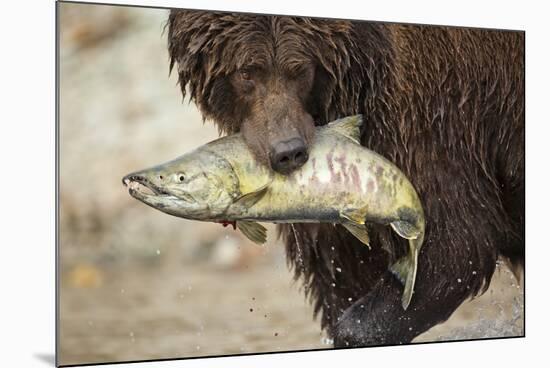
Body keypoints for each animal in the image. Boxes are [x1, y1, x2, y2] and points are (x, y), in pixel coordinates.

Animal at [167, 9, 528, 348]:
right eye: (246, 72)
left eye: (299, 69)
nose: (288, 151)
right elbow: (341, 269)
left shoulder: (428, 120)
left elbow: (454, 248)